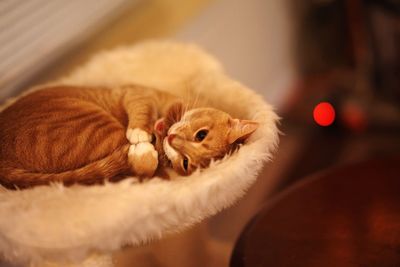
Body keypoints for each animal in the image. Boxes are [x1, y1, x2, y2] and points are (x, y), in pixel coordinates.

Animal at [0, 85, 260, 189]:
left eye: (186, 163)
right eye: (201, 134)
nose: (172, 140)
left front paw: (147, 152)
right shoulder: (137, 94)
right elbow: (141, 111)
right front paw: (142, 132)